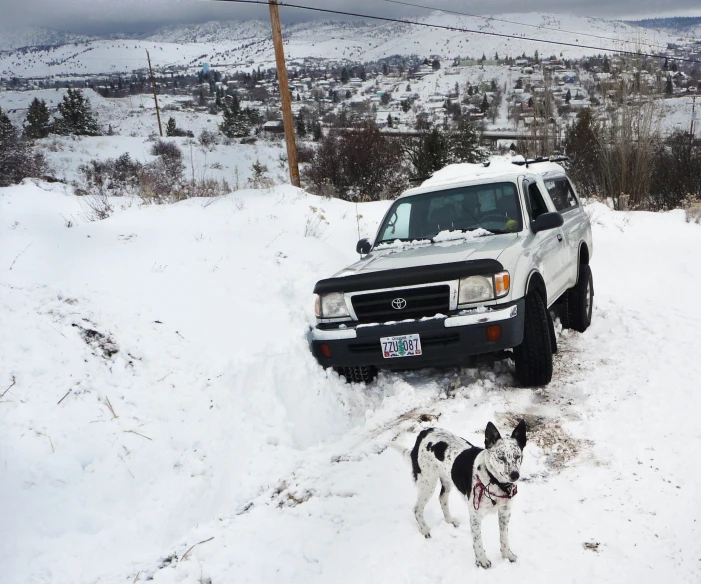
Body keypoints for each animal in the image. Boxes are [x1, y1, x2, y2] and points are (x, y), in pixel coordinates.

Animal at [400, 422, 524, 568]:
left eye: (517, 456)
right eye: (501, 457)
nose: (515, 475)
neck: (494, 481)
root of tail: (423, 432)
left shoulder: (505, 513)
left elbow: (504, 538)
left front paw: (507, 555)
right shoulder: (475, 515)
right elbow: (477, 540)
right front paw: (482, 560)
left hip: (447, 479)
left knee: (442, 498)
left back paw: (449, 520)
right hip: (428, 482)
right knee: (417, 508)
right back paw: (424, 529)